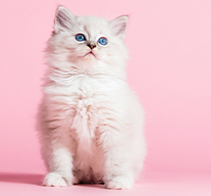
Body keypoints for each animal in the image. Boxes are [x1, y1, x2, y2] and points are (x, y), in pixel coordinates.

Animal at [37, 5, 146, 190]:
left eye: (103, 41)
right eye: (80, 37)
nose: (92, 45)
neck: (85, 79)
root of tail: (91, 177)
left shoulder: (114, 127)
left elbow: (116, 159)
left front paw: (118, 181)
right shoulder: (57, 128)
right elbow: (59, 159)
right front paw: (59, 178)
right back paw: (74, 178)